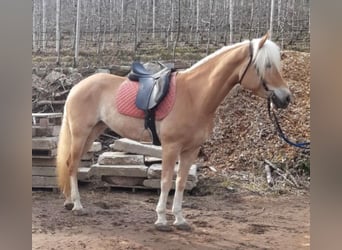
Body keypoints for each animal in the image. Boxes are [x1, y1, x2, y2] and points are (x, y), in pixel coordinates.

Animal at [56, 32, 292, 231]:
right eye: (267, 65)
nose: (286, 97)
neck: (195, 96)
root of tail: (77, 86)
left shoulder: (190, 150)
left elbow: (180, 182)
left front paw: (179, 219)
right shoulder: (170, 147)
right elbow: (166, 180)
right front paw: (161, 219)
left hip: (92, 133)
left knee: (70, 163)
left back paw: (68, 202)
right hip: (80, 134)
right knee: (73, 164)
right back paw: (77, 206)